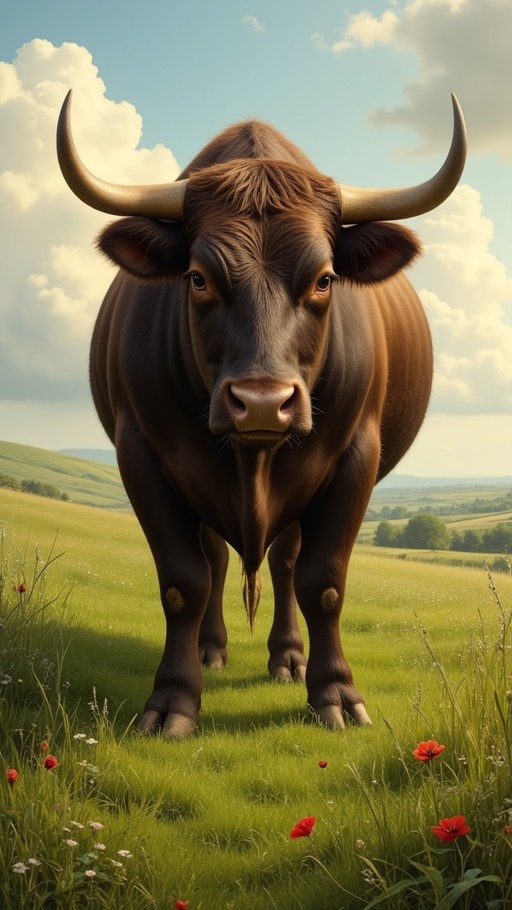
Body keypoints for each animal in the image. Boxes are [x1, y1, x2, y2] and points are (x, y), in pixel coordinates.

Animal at [57, 92, 466, 738]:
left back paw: (288, 659)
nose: (264, 403)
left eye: (324, 279)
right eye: (198, 277)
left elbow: (323, 582)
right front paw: (173, 701)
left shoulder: (356, 455)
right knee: (219, 558)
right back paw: (211, 649)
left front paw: (335, 695)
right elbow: (183, 581)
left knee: (285, 562)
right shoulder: (141, 452)